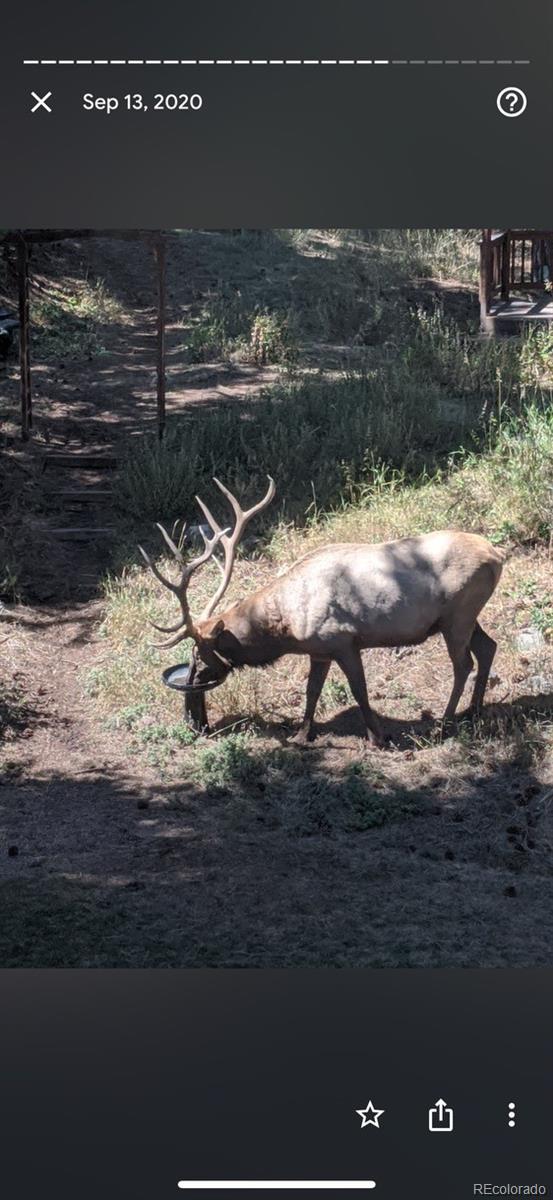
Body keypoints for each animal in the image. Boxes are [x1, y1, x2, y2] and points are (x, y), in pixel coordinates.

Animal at [136, 475, 499, 739]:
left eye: (198, 652)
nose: (192, 679)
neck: (286, 630)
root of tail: (497, 555)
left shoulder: (343, 640)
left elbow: (359, 691)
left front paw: (377, 737)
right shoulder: (319, 650)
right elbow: (311, 692)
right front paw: (301, 735)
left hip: (458, 615)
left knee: (463, 664)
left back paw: (445, 721)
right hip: (465, 617)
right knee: (488, 647)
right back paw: (474, 710)